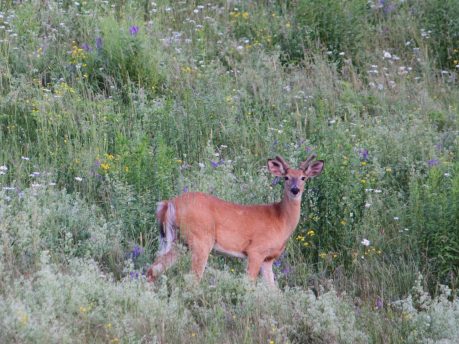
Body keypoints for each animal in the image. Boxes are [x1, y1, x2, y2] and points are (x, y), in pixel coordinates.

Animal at [146, 155, 324, 286]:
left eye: (303, 177)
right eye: (286, 177)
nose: (295, 190)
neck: (280, 219)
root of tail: (169, 204)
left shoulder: (269, 259)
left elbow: (273, 291)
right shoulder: (256, 250)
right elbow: (249, 283)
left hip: (179, 241)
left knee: (153, 269)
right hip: (200, 239)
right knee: (193, 279)